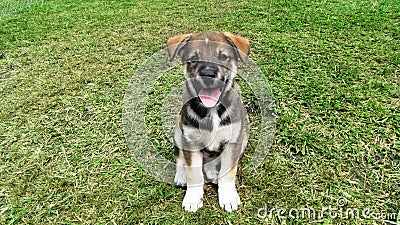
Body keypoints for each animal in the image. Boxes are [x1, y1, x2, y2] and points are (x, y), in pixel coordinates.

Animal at [166, 31, 250, 213]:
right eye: (193, 58)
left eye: (223, 56)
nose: (208, 74)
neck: (211, 110)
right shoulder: (190, 141)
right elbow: (193, 173)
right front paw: (192, 198)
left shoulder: (234, 141)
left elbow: (228, 172)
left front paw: (228, 197)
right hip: (178, 131)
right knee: (180, 156)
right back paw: (181, 176)